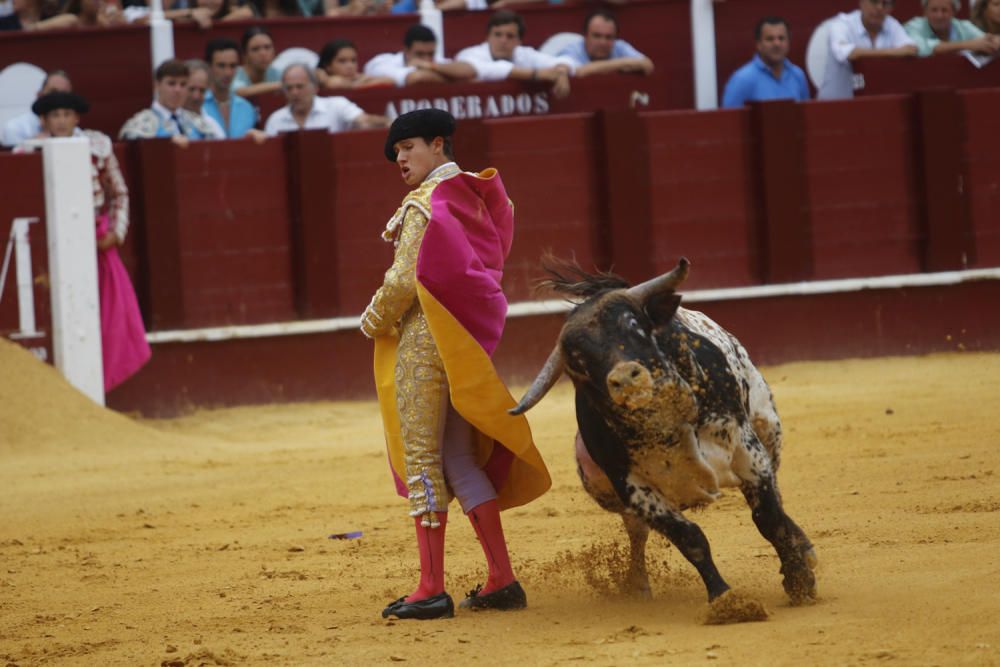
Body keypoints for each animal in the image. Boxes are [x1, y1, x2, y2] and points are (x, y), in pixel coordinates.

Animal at [512, 260, 816, 612]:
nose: (626, 378)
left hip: (768, 427)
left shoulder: (748, 451)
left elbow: (768, 517)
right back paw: (637, 585)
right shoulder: (633, 487)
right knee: (637, 532)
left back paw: (804, 549)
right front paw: (725, 600)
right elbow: (690, 539)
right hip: (604, 489)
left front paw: (799, 579)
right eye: (578, 360)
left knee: (776, 495)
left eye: (633, 323)